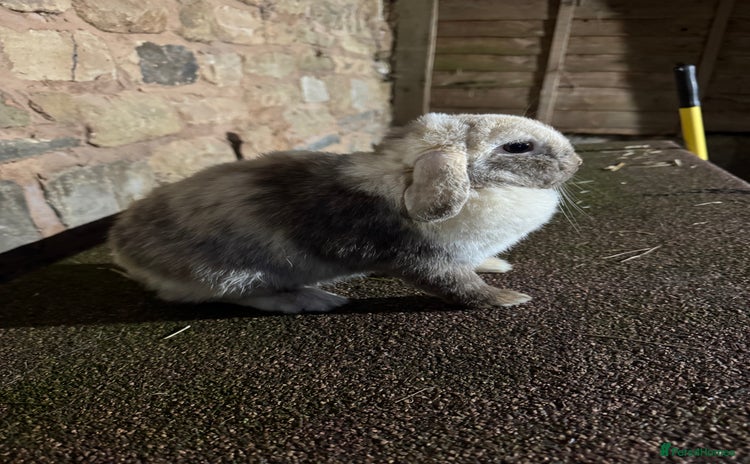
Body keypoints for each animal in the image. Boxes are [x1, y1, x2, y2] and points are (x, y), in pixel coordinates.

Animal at [108, 113, 581, 313]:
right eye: (518, 146)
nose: (576, 162)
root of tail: (122, 247)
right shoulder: (423, 260)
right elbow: (458, 286)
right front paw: (507, 298)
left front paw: (497, 264)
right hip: (232, 273)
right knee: (234, 296)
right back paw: (313, 300)